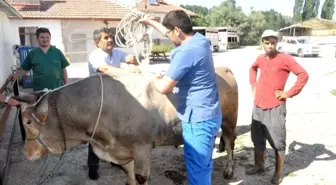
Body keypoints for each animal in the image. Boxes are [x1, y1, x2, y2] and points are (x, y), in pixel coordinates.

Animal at [14, 66, 238, 184]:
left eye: (27, 121)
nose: (25, 153)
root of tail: (223, 68)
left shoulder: (142, 147)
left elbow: (140, 177)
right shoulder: (123, 150)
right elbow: (129, 177)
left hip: (229, 120)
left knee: (229, 142)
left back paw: (228, 170)